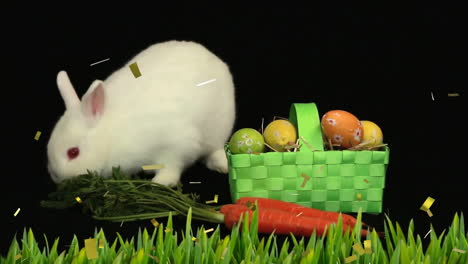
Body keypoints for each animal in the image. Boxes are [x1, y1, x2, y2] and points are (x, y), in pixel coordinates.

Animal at [47, 40, 236, 187]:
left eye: (73, 152)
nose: (56, 177)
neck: (109, 139)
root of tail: (211, 55)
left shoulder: (178, 145)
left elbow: (172, 165)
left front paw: (160, 182)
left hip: (219, 127)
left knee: (216, 149)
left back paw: (221, 166)